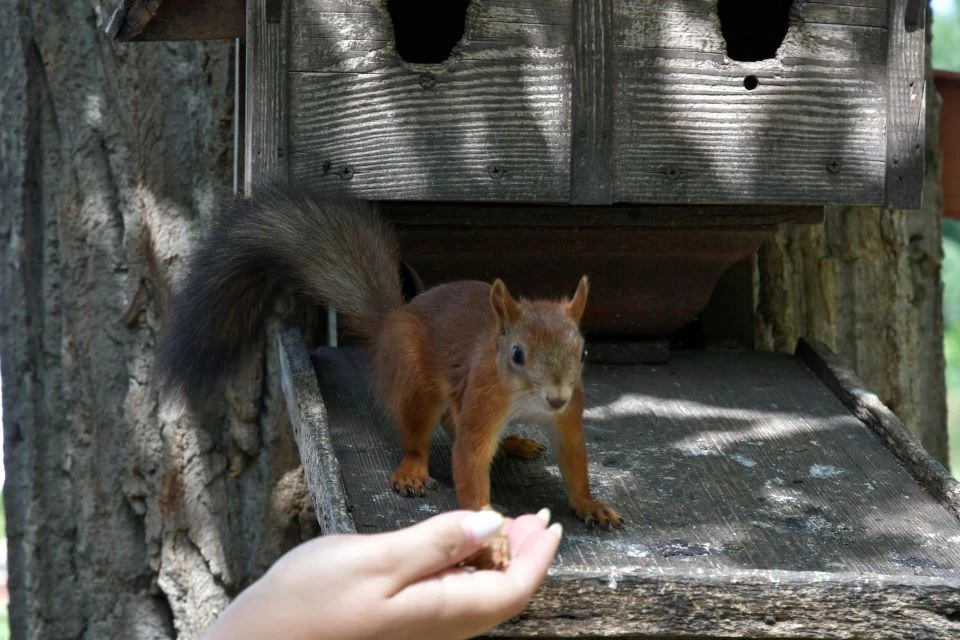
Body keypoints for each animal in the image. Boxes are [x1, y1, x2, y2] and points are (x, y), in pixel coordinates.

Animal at [161, 189, 628, 528]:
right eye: (517, 354)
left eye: (583, 350)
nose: (556, 398)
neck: (528, 400)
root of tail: (392, 319)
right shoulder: (483, 397)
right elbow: (469, 455)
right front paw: (482, 515)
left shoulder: (569, 417)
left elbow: (573, 458)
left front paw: (590, 504)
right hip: (413, 377)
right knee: (421, 433)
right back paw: (412, 470)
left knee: (450, 424)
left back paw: (514, 441)